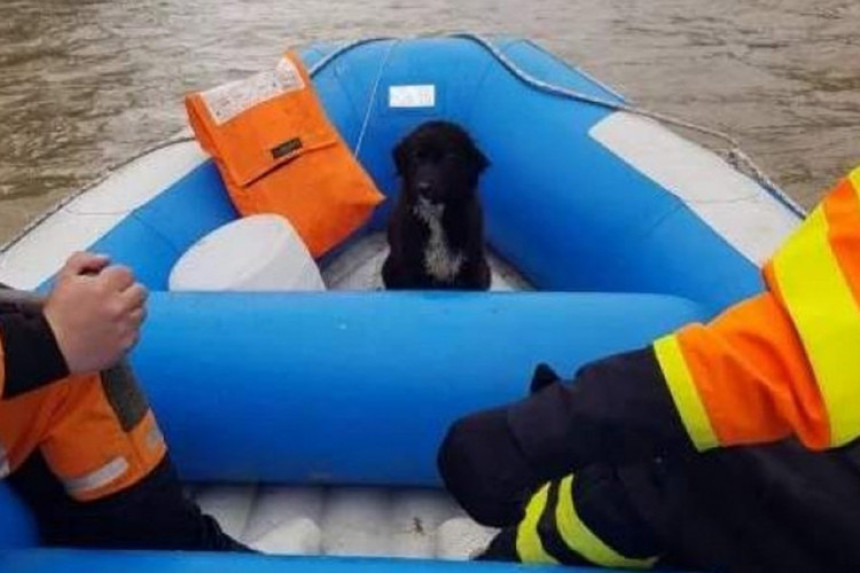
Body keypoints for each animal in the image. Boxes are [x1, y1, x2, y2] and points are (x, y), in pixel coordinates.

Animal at [382, 121, 494, 290]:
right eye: (416, 156)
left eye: (449, 157)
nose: (423, 188)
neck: (436, 218)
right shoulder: (411, 270)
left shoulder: (473, 268)